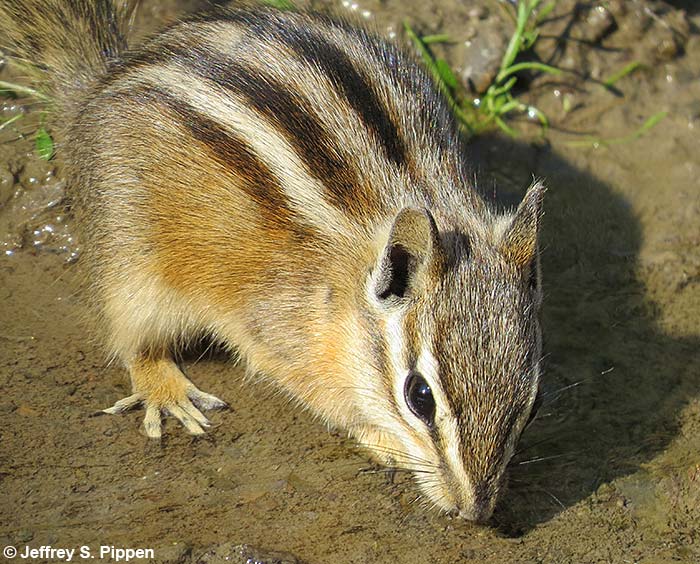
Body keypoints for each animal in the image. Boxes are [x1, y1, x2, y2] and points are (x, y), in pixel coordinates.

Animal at [0, 0, 544, 522]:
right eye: (419, 396)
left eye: (533, 402)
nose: (474, 512)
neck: (344, 291)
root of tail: (94, 88)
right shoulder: (279, 334)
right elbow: (323, 398)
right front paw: (382, 439)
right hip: (129, 264)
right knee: (133, 341)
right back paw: (165, 391)